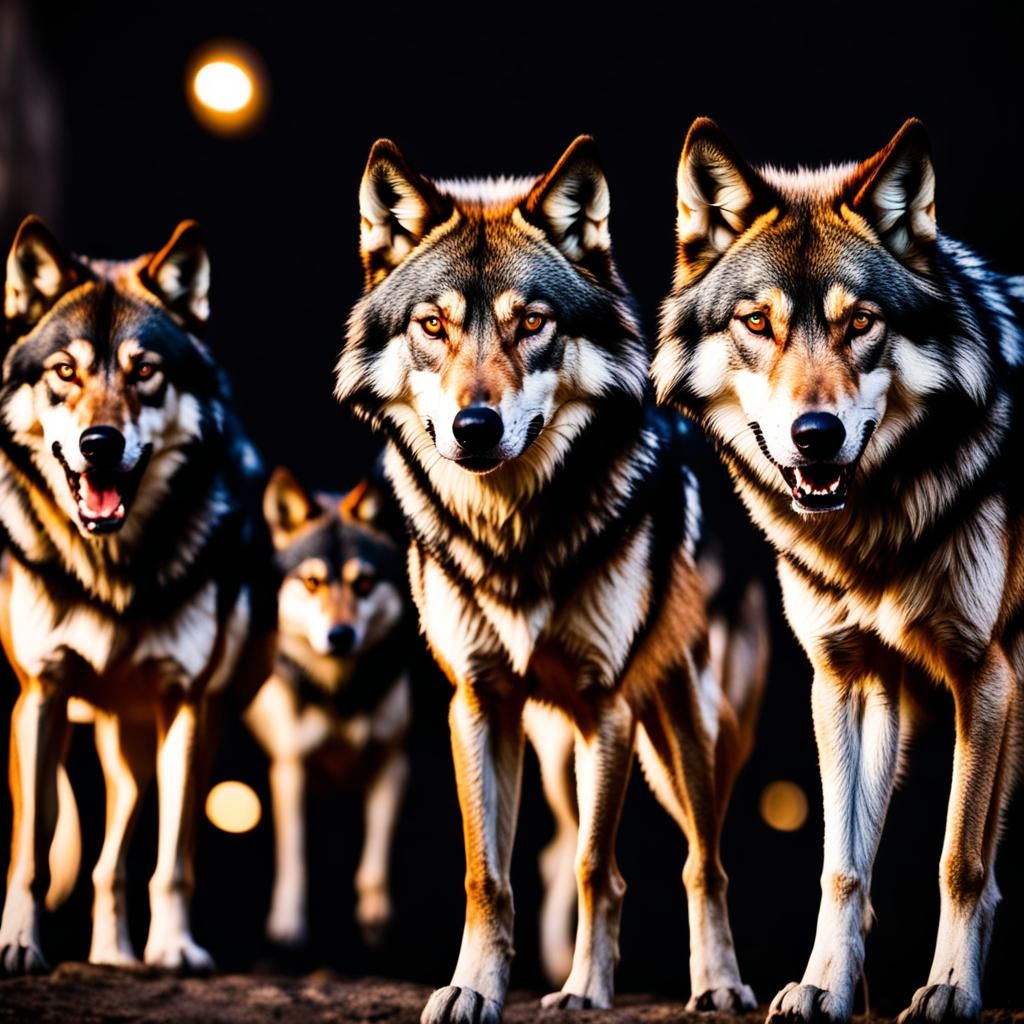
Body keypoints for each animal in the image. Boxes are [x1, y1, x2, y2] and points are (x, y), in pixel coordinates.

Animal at [0, 217, 273, 974]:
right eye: (65, 372)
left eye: (144, 370)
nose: (100, 442)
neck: (113, 571)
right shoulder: (41, 694)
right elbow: (31, 852)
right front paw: (19, 944)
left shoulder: (187, 703)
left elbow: (172, 857)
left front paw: (173, 949)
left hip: (150, 744)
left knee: (114, 855)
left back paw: (119, 955)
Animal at [244, 466, 410, 949]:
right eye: (312, 582)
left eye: (364, 584)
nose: (340, 635)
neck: (340, 693)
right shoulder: (290, 768)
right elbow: (294, 856)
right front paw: (288, 925)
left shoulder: (393, 762)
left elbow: (375, 857)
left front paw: (376, 917)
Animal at [335, 136, 762, 1023]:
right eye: (433, 326)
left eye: (531, 323)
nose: (474, 426)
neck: (514, 537)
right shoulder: (479, 702)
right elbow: (488, 874)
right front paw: (473, 987)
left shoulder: (609, 707)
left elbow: (600, 869)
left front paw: (586, 990)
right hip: (562, 750)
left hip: (683, 727)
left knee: (702, 857)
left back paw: (719, 983)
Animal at [653, 117, 1024, 1023]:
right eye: (758, 322)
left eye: (861, 323)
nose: (814, 435)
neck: (873, 531)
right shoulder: (848, 677)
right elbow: (843, 864)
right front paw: (824, 986)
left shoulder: (983, 671)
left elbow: (960, 859)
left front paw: (950, 988)